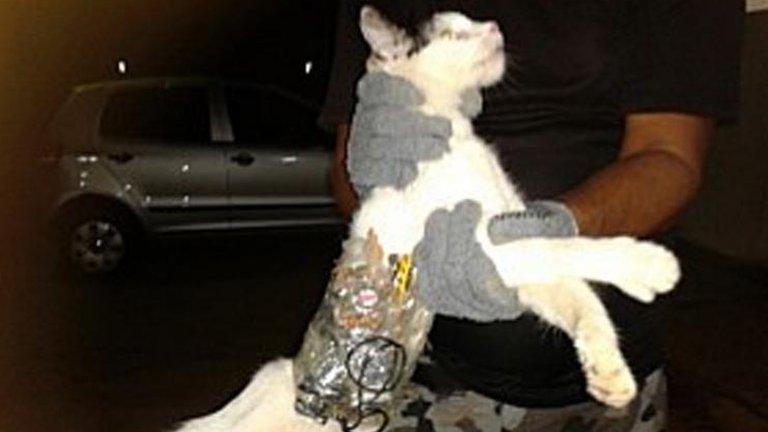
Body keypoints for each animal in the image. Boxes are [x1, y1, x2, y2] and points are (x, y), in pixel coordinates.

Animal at [176, 6, 680, 432]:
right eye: (452, 33)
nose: (495, 26)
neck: (448, 128)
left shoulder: (509, 242)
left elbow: (577, 294)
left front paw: (608, 369)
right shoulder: (484, 245)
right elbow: (568, 248)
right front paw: (647, 265)